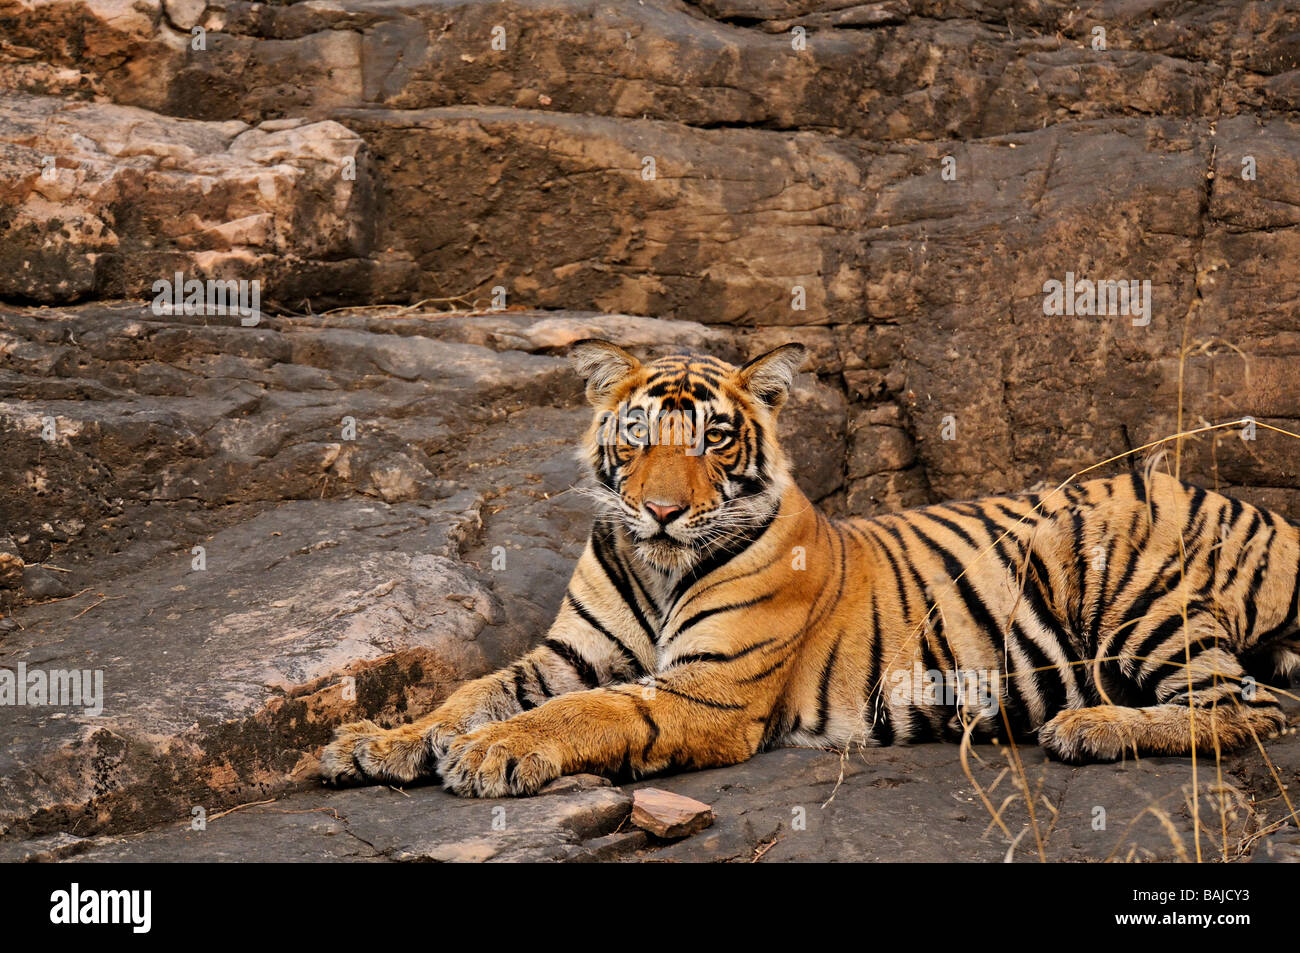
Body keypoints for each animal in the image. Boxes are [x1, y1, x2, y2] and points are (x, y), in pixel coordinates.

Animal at [317, 338, 1300, 790]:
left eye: (713, 438)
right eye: (636, 435)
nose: (662, 510)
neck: (655, 565)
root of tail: (1272, 516)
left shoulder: (704, 690)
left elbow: (582, 711)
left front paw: (489, 752)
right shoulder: (564, 655)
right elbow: (470, 690)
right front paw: (377, 740)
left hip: (1129, 578)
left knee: (1248, 709)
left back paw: (1090, 728)